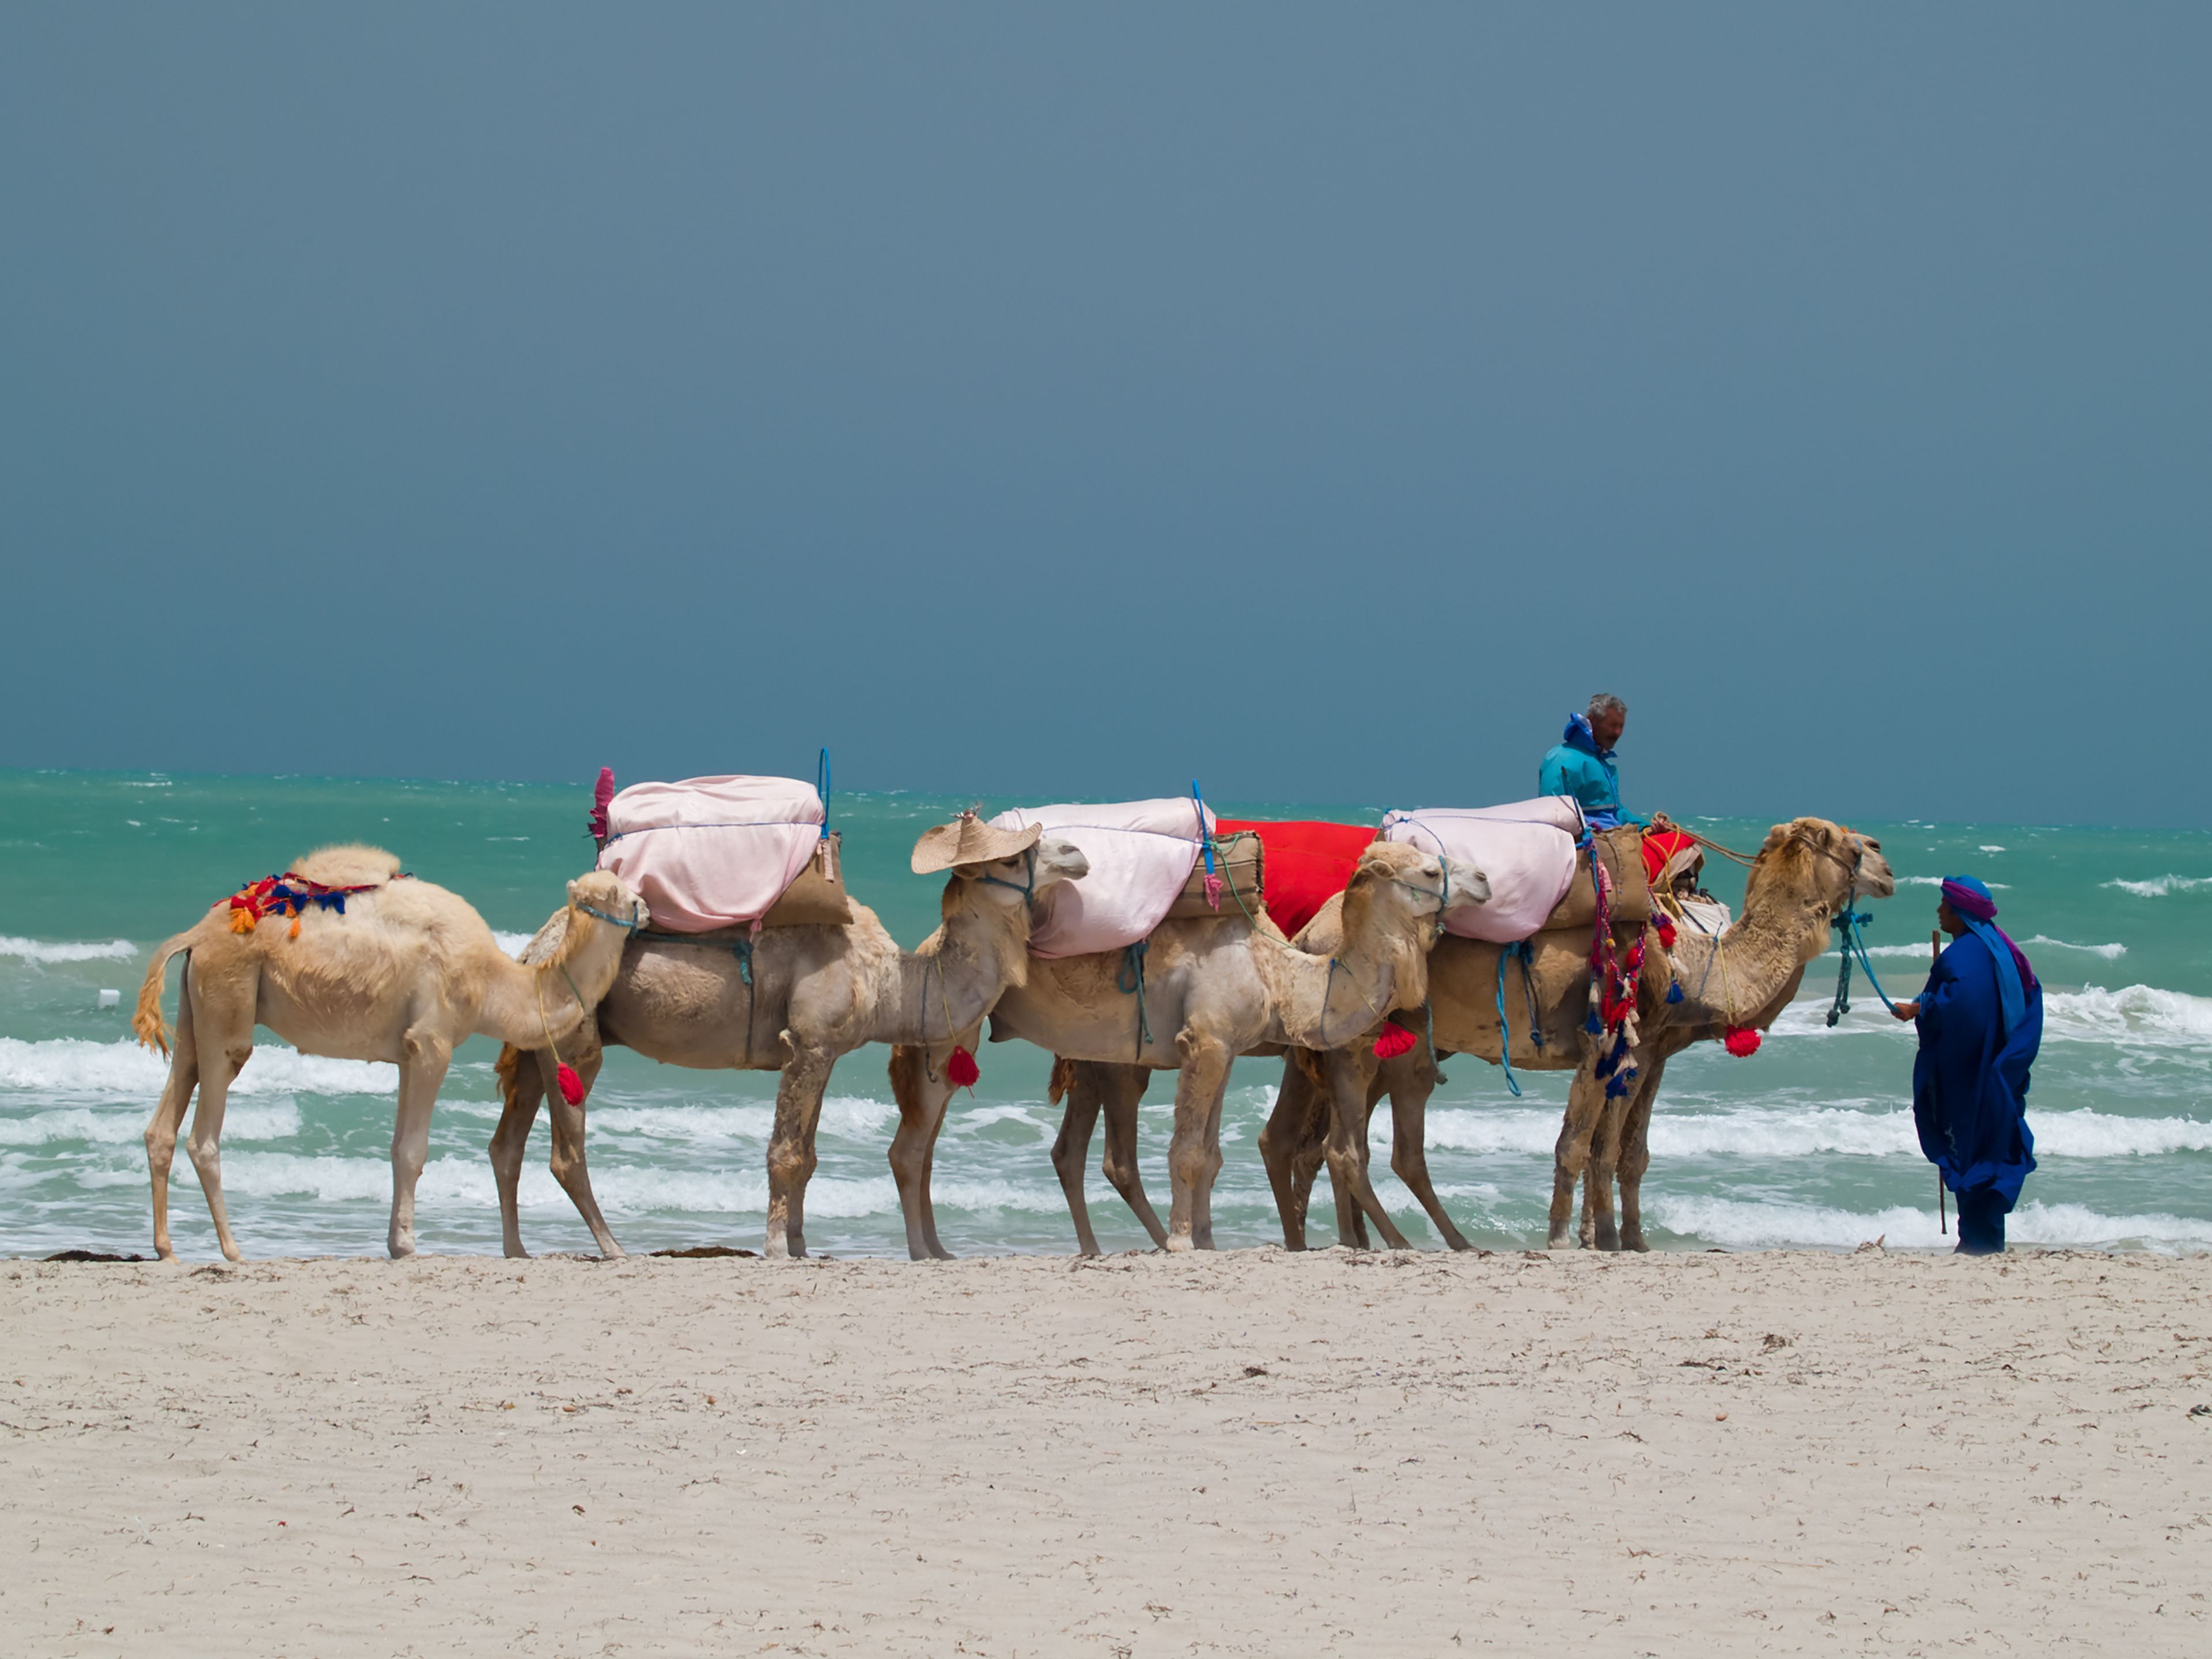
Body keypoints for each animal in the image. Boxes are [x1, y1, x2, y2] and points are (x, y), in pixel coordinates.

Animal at [135, 849, 646, 1265]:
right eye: (621, 894)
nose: (644, 907)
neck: (492, 983)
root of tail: (195, 935)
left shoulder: (407, 1053)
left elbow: (398, 1147)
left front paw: (396, 1244)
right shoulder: (433, 1042)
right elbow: (414, 1151)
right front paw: (407, 1246)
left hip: (196, 1007)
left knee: (168, 1112)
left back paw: (166, 1250)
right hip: (229, 996)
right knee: (206, 1130)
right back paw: (233, 1250)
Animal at [493, 818, 1097, 1256]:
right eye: (1012, 858)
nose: (1077, 852)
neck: (888, 981)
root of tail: (534, 948)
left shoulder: (825, 1051)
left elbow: (806, 1157)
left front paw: (804, 1248)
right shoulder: (808, 1041)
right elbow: (784, 1153)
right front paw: (778, 1250)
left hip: (536, 1043)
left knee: (507, 1146)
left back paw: (518, 1251)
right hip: (577, 1041)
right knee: (567, 1152)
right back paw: (614, 1248)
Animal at [880, 844, 1486, 1256]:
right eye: (1431, 871)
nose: (1483, 879)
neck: (1280, 972)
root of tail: (929, 946)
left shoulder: (1226, 1048)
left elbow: (1212, 1155)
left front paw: (1208, 1242)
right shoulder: (1207, 1041)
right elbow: (1187, 1151)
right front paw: (1179, 1242)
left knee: (944, 1146)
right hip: (956, 1028)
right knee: (912, 1148)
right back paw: (923, 1253)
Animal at [1265, 814, 1902, 1256]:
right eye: (1835, 838)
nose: (1884, 860)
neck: (1694, 961)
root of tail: (1314, 931)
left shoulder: (1647, 1051)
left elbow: (1622, 1150)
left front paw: (1623, 1240)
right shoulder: (1611, 1042)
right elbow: (1581, 1144)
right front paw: (1569, 1240)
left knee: (1312, 1141)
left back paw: (1346, 1240)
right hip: (1357, 1044)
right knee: (1336, 1145)